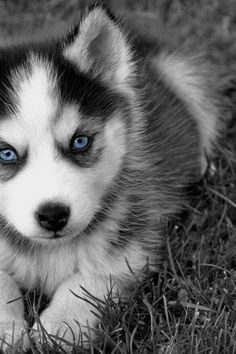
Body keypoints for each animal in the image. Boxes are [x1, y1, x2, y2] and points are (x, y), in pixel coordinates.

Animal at [0, 2, 218, 352]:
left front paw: (60, 330)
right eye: (6, 153)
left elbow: (89, 280)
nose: (53, 215)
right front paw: (9, 331)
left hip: (187, 78)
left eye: (80, 141)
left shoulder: (131, 245)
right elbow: (3, 282)